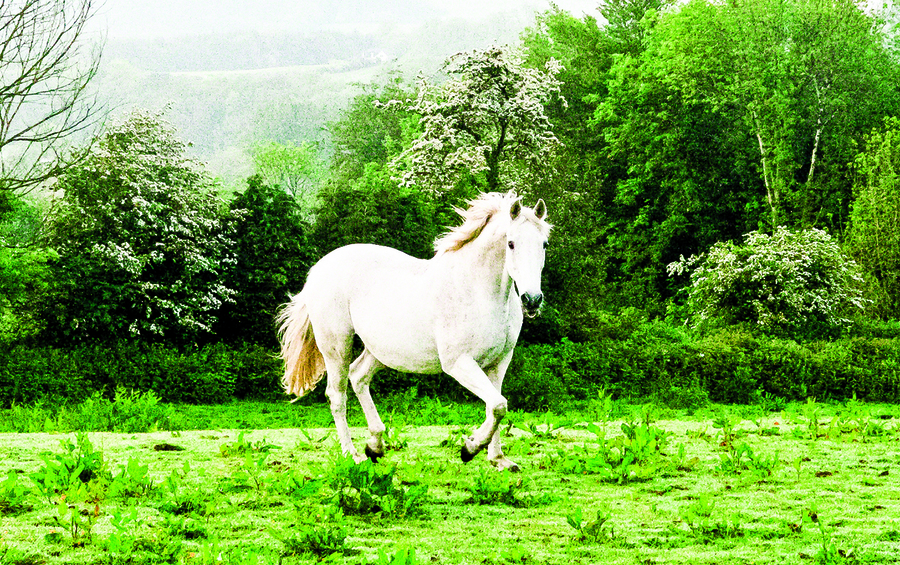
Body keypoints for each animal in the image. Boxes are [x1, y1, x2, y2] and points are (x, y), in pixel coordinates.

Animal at [278, 192, 552, 470]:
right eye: (511, 243)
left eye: (544, 244)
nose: (532, 300)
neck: (480, 291)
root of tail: (318, 270)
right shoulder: (458, 363)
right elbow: (497, 405)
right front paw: (470, 448)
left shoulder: (499, 363)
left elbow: (495, 406)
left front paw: (498, 459)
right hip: (336, 347)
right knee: (337, 395)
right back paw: (352, 454)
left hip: (379, 351)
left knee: (359, 377)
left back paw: (375, 446)